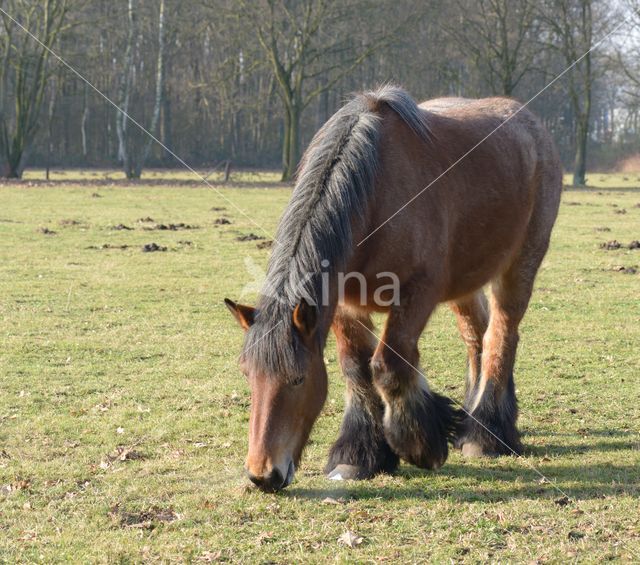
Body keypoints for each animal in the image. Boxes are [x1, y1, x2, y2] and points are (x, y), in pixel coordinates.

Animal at [225, 85, 560, 494]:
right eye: (248, 375)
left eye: (298, 378)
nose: (263, 475)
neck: (375, 195)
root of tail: (530, 123)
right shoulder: (345, 305)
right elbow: (356, 368)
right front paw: (359, 456)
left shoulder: (417, 295)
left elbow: (388, 365)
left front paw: (420, 445)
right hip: (465, 281)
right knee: (476, 337)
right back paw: (475, 420)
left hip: (519, 266)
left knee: (500, 336)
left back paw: (486, 434)